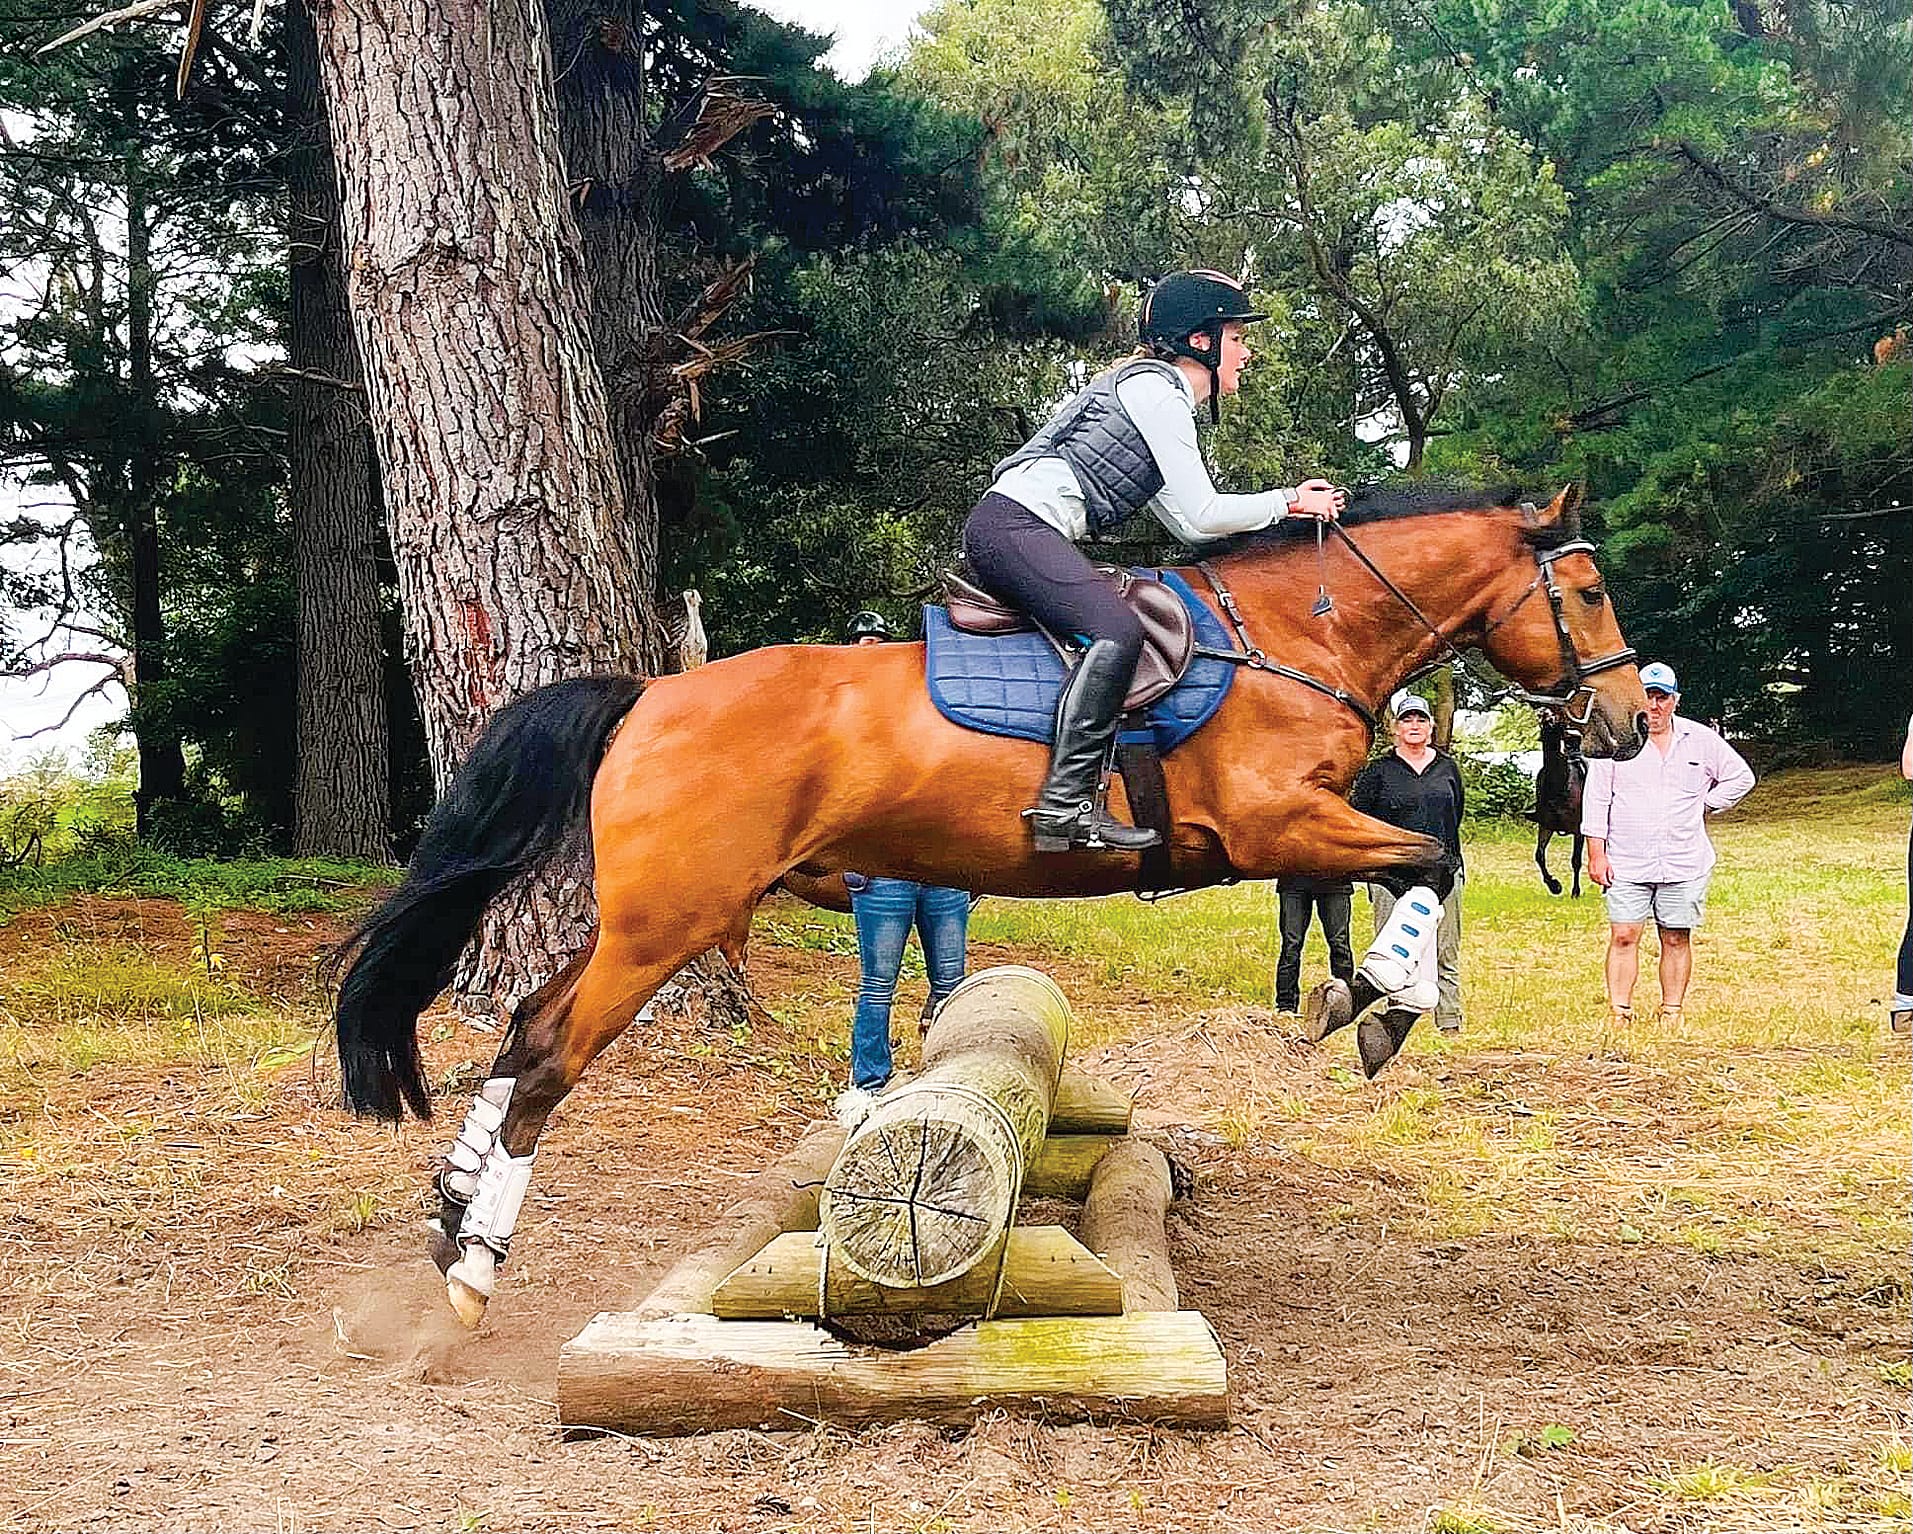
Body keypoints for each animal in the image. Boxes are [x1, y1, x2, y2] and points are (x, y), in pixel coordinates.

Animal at [1531, 711, 1588, 896]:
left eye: (1557, 721)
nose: (1545, 713)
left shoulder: (1579, 830)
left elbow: (1576, 860)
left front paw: (1575, 891)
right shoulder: (1546, 825)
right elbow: (1539, 855)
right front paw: (1554, 885)